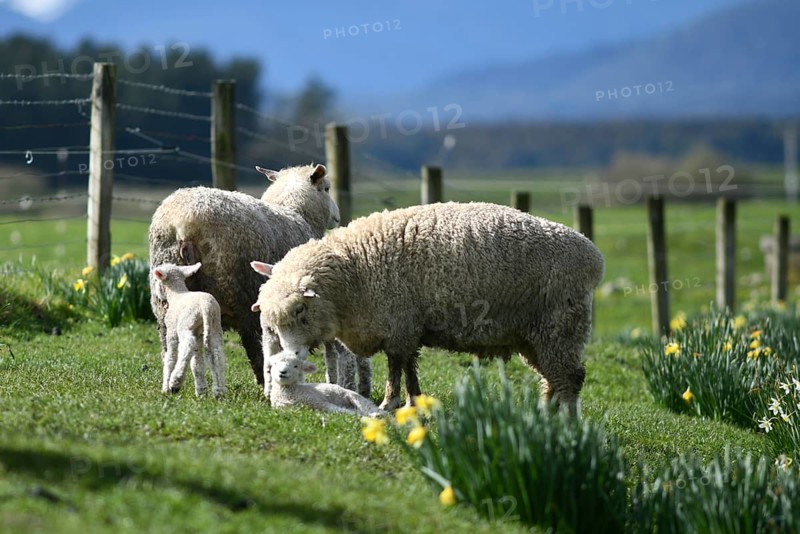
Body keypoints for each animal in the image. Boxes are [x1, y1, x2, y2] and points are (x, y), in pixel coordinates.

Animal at [152, 262, 226, 397]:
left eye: (156, 280)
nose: (157, 295)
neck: (176, 294)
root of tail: (206, 306)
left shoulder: (171, 331)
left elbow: (170, 358)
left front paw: (165, 388)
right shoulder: (199, 335)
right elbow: (197, 363)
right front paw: (201, 391)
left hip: (186, 324)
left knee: (188, 344)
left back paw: (175, 382)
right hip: (215, 327)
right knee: (217, 355)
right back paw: (219, 392)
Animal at [251, 201, 605, 412]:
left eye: (300, 310)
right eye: (272, 322)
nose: (290, 356)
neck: (353, 270)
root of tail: (593, 255)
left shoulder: (398, 325)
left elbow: (395, 368)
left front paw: (390, 404)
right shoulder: (408, 328)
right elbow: (409, 367)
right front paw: (414, 402)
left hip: (560, 326)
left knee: (571, 378)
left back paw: (564, 422)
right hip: (534, 336)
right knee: (552, 379)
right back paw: (545, 414)